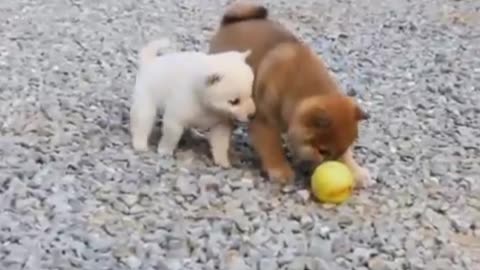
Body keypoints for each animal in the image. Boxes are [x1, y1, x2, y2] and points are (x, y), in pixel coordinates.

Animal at [127, 39, 255, 167]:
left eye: (250, 94)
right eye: (234, 101)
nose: (252, 115)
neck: (207, 105)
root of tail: (150, 62)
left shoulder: (221, 123)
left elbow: (221, 144)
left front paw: (222, 161)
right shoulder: (175, 118)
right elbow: (171, 136)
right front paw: (165, 150)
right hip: (145, 102)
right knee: (142, 122)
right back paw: (140, 144)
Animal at [209, 1, 372, 188]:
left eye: (340, 150)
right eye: (322, 151)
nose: (328, 165)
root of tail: (229, 22)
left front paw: (356, 170)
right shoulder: (265, 123)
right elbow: (272, 148)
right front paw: (281, 171)